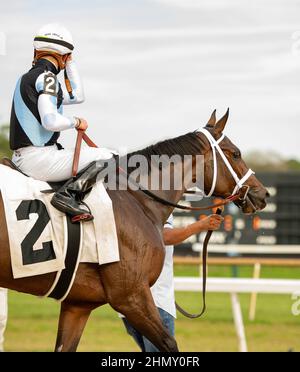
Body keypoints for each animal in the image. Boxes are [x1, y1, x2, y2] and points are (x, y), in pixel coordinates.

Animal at [0, 109, 268, 352]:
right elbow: (169, 344)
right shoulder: (131, 296)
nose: (262, 193)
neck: (136, 197)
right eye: (236, 153)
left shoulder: (78, 304)